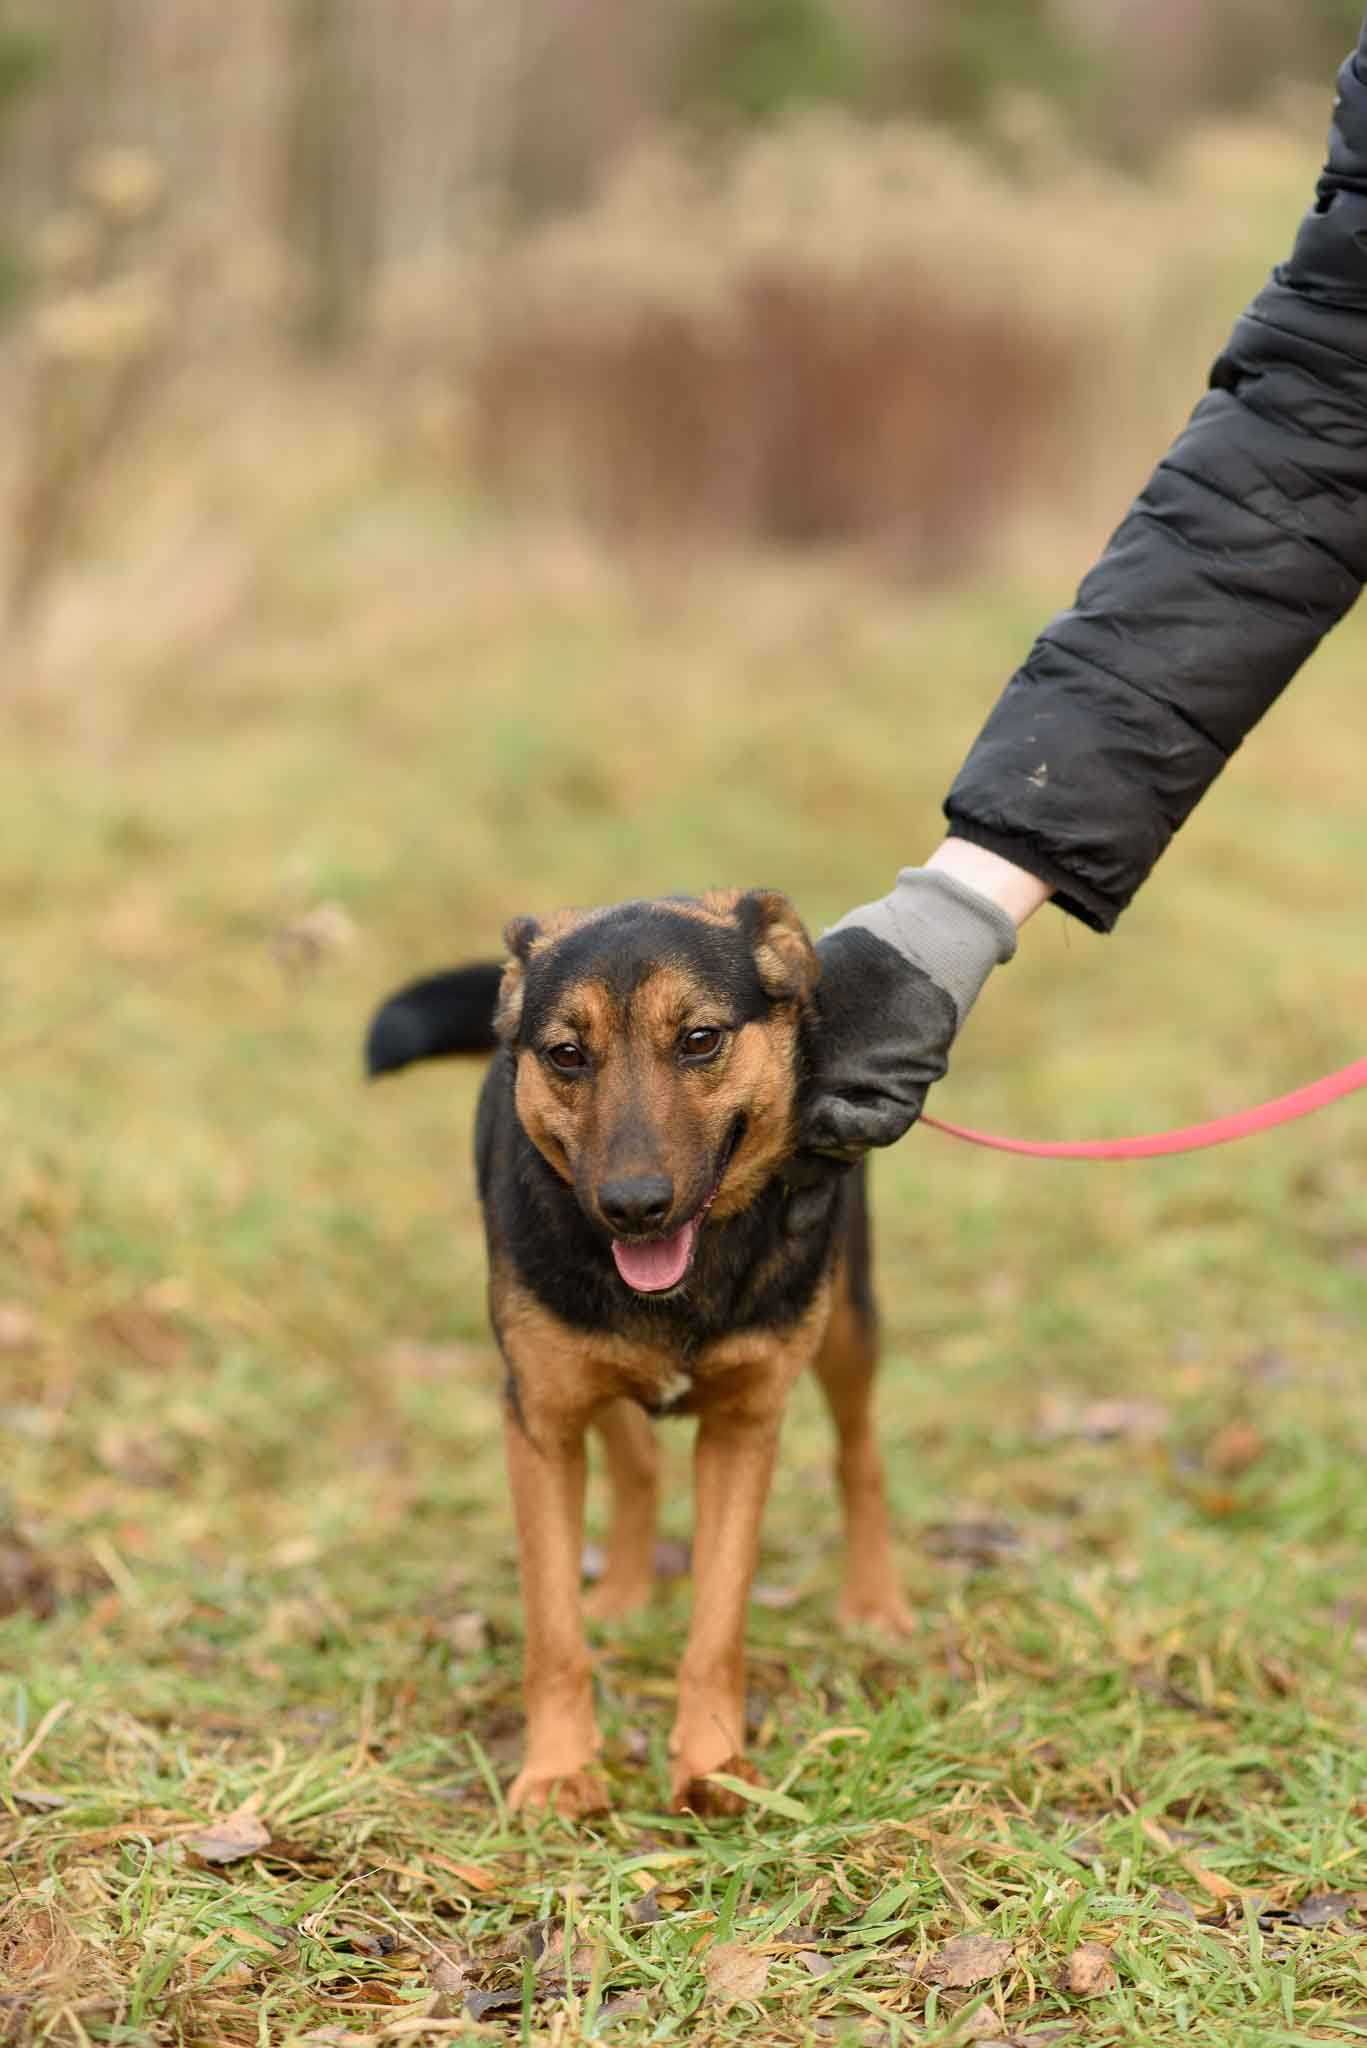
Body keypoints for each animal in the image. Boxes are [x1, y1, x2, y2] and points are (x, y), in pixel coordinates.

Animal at [368, 888, 914, 1818]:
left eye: (698, 1039)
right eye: (565, 1055)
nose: (633, 1207)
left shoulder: (743, 1428)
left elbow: (717, 1625)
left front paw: (714, 1766)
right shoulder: (541, 1420)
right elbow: (553, 1631)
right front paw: (558, 1770)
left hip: (847, 1317)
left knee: (861, 1455)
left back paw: (874, 1600)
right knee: (634, 1461)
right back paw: (623, 1593)